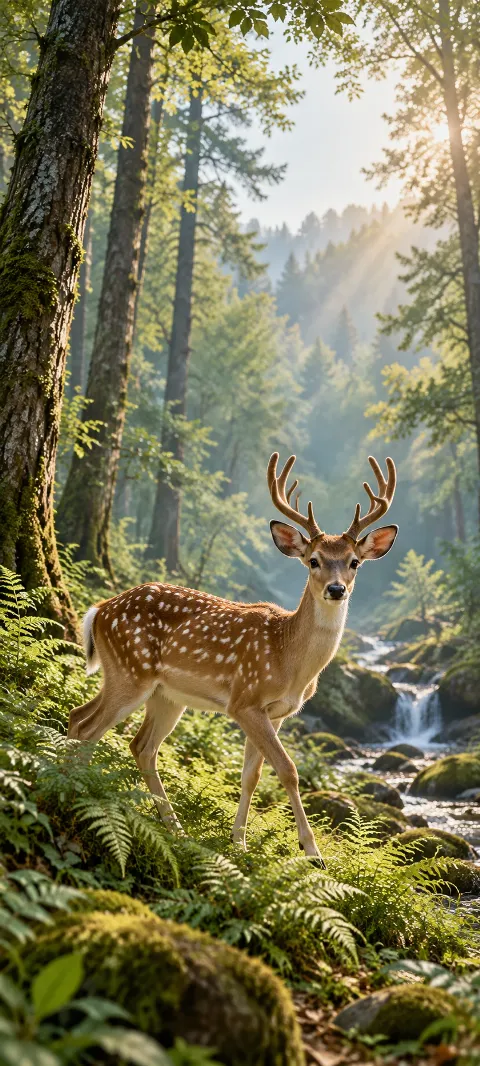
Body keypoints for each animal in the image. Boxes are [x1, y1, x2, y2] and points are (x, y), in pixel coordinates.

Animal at [68, 453, 397, 866]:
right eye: (313, 560)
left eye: (354, 562)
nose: (336, 590)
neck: (288, 659)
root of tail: (99, 610)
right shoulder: (245, 701)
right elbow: (288, 770)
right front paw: (312, 852)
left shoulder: (276, 713)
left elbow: (250, 776)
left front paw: (238, 843)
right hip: (131, 673)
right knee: (89, 728)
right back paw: (75, 791)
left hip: (162, 693)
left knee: (125, 739)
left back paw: (174, 828)